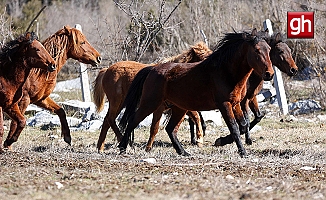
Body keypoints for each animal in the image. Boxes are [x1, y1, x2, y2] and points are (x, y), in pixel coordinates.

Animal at [118, 28, 274, 157]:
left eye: (269, 49)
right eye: (256, 50)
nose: (269, 74)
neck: (226, 72)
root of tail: (152, 69)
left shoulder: (235, 104)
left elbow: (243, 125)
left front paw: (222, 141)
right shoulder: (224, 105)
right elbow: (234, 127)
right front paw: (242, 152)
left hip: (179, 108)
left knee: (170, 129)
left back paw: (183, 152)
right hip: (150, 103)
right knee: (133, 121)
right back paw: (122, 148)